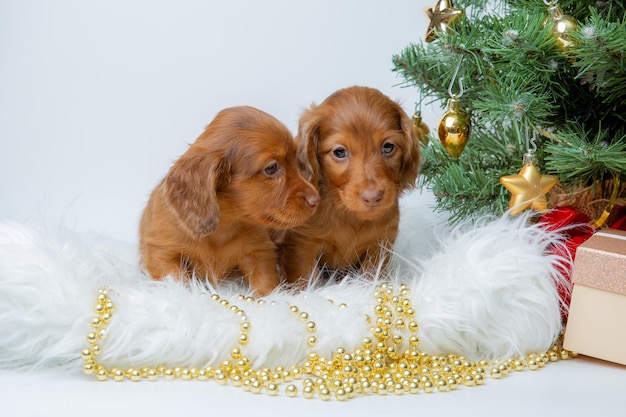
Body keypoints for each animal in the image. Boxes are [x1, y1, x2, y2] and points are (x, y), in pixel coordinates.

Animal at [140, 107, 320, 296]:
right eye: (271, 168)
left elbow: (265, 283)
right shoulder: (162, 253)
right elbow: (176, 279)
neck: (224, 224)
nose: (316, 200)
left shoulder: (258, 252)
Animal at [280, 85, 420, 284]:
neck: (348, 214)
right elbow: (304, 278)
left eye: (388, 147)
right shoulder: (303, 244)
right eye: (339, 152)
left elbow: (372, 275)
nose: (373, 197)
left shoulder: (380, 243)